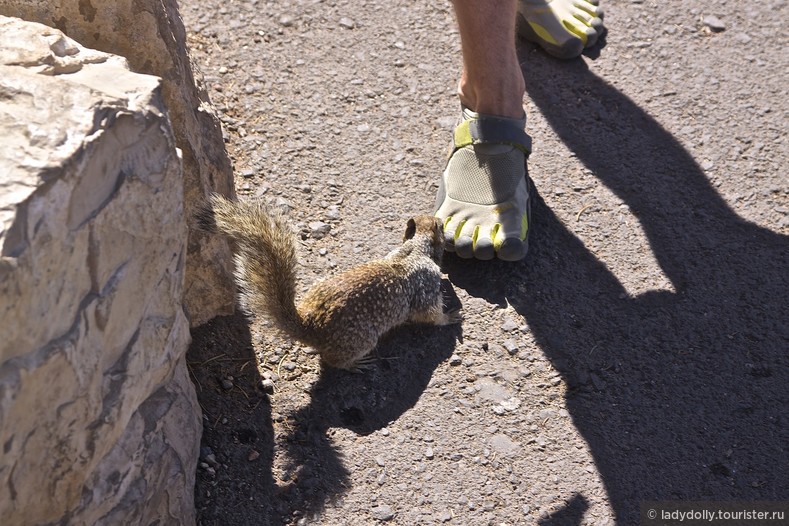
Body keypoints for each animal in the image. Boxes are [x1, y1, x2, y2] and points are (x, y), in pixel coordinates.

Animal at [195, 195, 462, 372]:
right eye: (441, 226)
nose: (444, 221)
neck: (415, 249)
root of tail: (309, 327)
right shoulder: (426, 288)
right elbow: (428, 314)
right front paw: (450, 316)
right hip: (361, 341)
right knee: (332, 361)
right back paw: (357, 364)